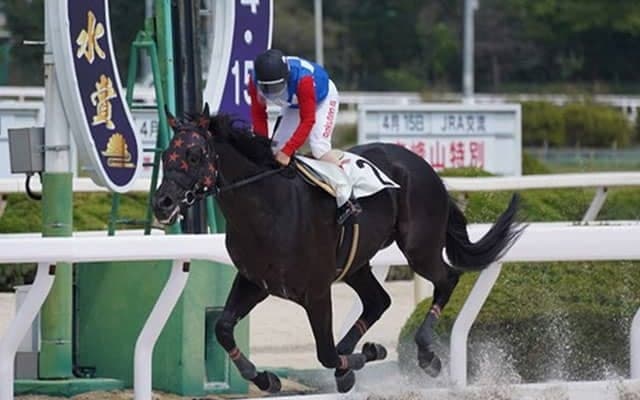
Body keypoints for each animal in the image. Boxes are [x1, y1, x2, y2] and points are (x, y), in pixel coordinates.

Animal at [152, 103, 523, 393]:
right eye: (166, 155)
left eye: (195, 155)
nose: (162, 203)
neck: (270, 208)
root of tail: (426, 167)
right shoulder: (255, 281)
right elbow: (223, 329)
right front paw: (266, 378)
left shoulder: (316, 291)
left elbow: (325, 352)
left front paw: (365, 357)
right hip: (357, 264)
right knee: (379, 300)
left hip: (418, 246)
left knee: (446, 279)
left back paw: (426, 355)